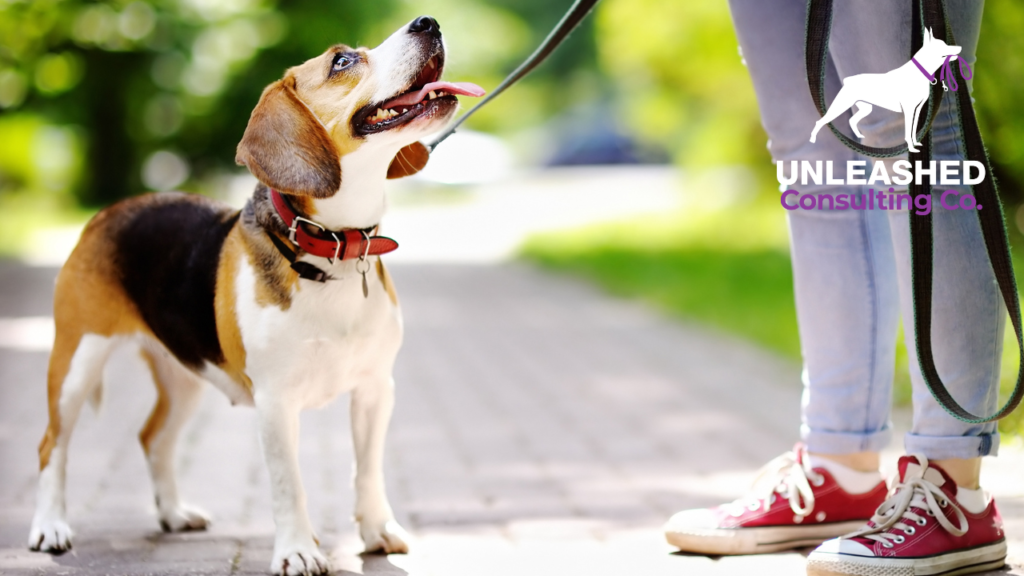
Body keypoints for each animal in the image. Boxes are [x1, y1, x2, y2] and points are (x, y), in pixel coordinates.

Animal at [27, 15, 483, 569]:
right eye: (342, 61)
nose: (428, 22)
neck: (331, 248)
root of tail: (110, 211)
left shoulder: (376, 388)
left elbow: (368, 470)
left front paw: (377, 530)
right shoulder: (275, 401)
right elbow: (290, 484)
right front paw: (298, 551)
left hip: (185, 373)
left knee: (153, 438)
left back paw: (173, 513)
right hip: (76, 362)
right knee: (52, 445)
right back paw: (50, 527)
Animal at [806, 26, 958, 152]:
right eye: (943, 45)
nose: (958, 47)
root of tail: (848, 80)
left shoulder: (918, 109)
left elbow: (914, 129)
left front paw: (915, 144)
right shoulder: (909, 110)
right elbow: (908, 131)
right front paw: (911, 147)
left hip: (865, 108)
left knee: (852, 120)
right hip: (841, 105)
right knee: (821, 121)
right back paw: (813, 138)